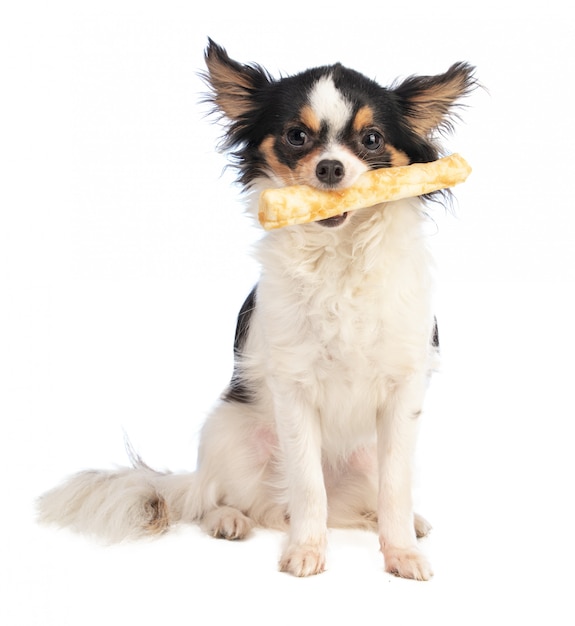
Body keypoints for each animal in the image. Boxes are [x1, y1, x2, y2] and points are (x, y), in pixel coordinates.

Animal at [37, 41, 476, 580]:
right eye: (296, 136)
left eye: (371, 139)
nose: (330, 168)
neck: (338, 254)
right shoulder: (294, 390)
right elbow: (307, 486)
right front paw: (306, 550)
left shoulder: (403, 393)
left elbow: (395, 488)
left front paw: (402, 553)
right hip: (228, 436)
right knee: (216, 499)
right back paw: (229, 519)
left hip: (364, 457)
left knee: (362, 500)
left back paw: (402, 522)